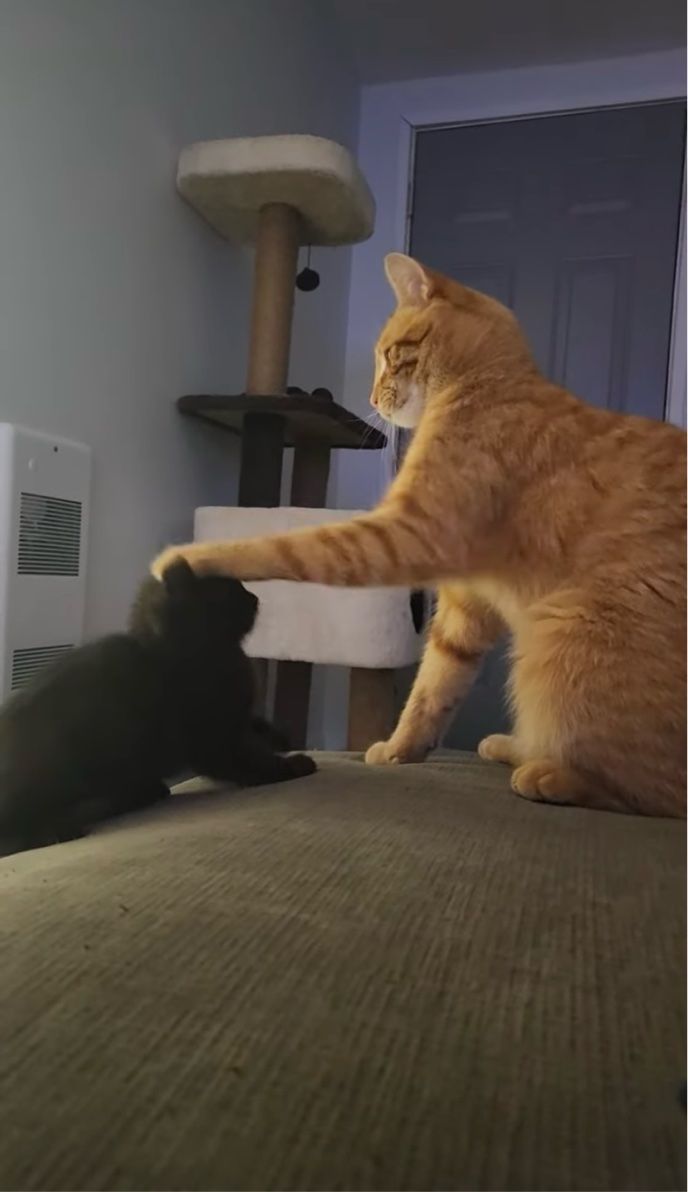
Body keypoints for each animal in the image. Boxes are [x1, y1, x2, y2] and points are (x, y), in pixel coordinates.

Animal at [0, 561, 315, 852]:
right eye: (230, 589)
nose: (255, 598)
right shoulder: (213, 737)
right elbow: (249, 758)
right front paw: (291, 765)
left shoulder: (237, 719)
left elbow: (258, 726)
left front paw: (282, 739)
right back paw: (54, 831)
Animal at [151, 253, 686, 818]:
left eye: (390, 356)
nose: (371, 397)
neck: (488, 384)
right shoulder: (463, 604)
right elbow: (432, 686)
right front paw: (400, 748)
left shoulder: (406, 534)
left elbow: (290, 546)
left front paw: (188, 557)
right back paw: (513, 746)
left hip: (561, 639)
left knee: (654, 790)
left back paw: (548, 774)